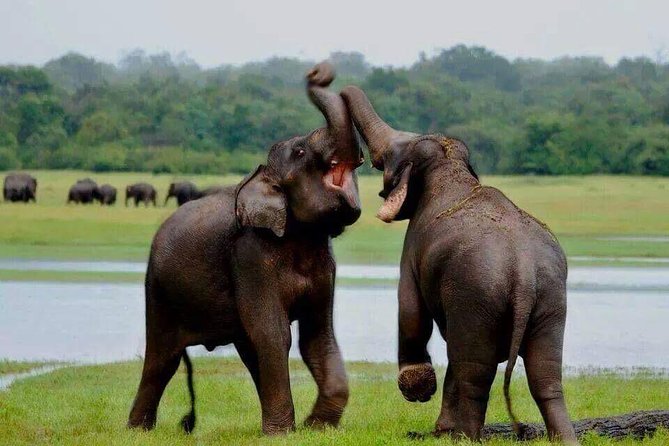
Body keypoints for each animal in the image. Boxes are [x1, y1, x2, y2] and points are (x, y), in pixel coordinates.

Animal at [127, 62, 363, 435]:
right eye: (300, 152)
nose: (318, 71)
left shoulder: (326, 263)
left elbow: (317, 336)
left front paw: (315, 426)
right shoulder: (250, 255)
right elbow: (274, 333)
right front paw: (284, 434)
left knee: (246, 350)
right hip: (158, 289)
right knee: (162, 358)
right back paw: (137, 431)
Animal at [341, 86, 577, 444]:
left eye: (389, 157)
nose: (318, 76)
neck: (450, 165)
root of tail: (522, 272)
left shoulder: (412, 247)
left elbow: (410, 309)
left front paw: (420, 394)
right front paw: (438, 423)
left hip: (476, 294)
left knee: (473, 369)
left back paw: (462, 436)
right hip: (551, 298)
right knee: (545, 374)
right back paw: (564, 438)